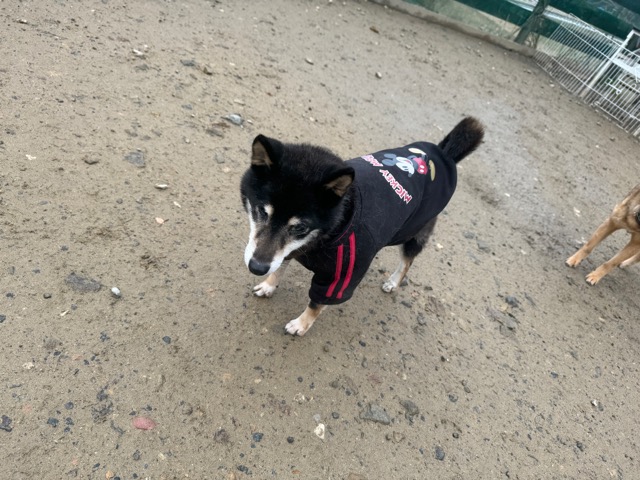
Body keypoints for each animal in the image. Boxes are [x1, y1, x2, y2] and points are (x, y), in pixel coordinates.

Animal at [240, 117, 484, 335]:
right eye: (262, 211)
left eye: (300, 228)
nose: (256, 267)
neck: (326, 235)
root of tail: (444, 153)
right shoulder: (287, 251)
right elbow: (279, 267)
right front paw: (269, 285)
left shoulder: (340, 278)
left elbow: (316, 304)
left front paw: (301, 324)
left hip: (413, 232)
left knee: (407, 262)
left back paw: (393, 282)